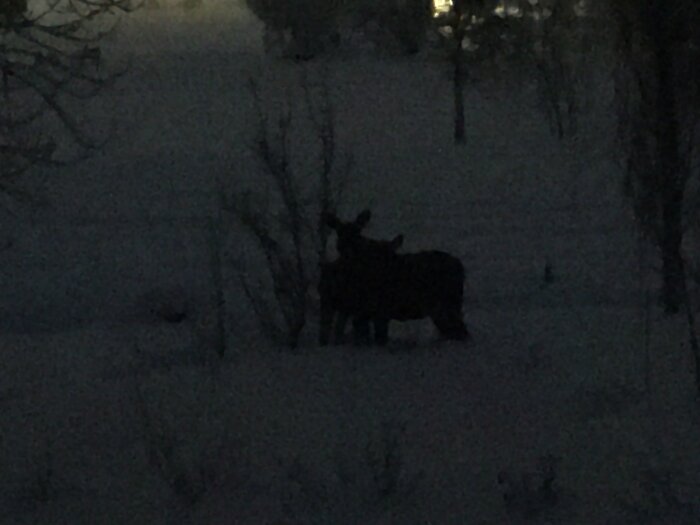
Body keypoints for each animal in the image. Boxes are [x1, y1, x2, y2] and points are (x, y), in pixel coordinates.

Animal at [320, 209, 468, 344]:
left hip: (447, 304)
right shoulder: (363, 312)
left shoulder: (378, 309)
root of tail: (461, 266)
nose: (346, 248)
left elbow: (379, 339)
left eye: (358, 231)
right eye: (339, 231)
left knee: (460, 332)